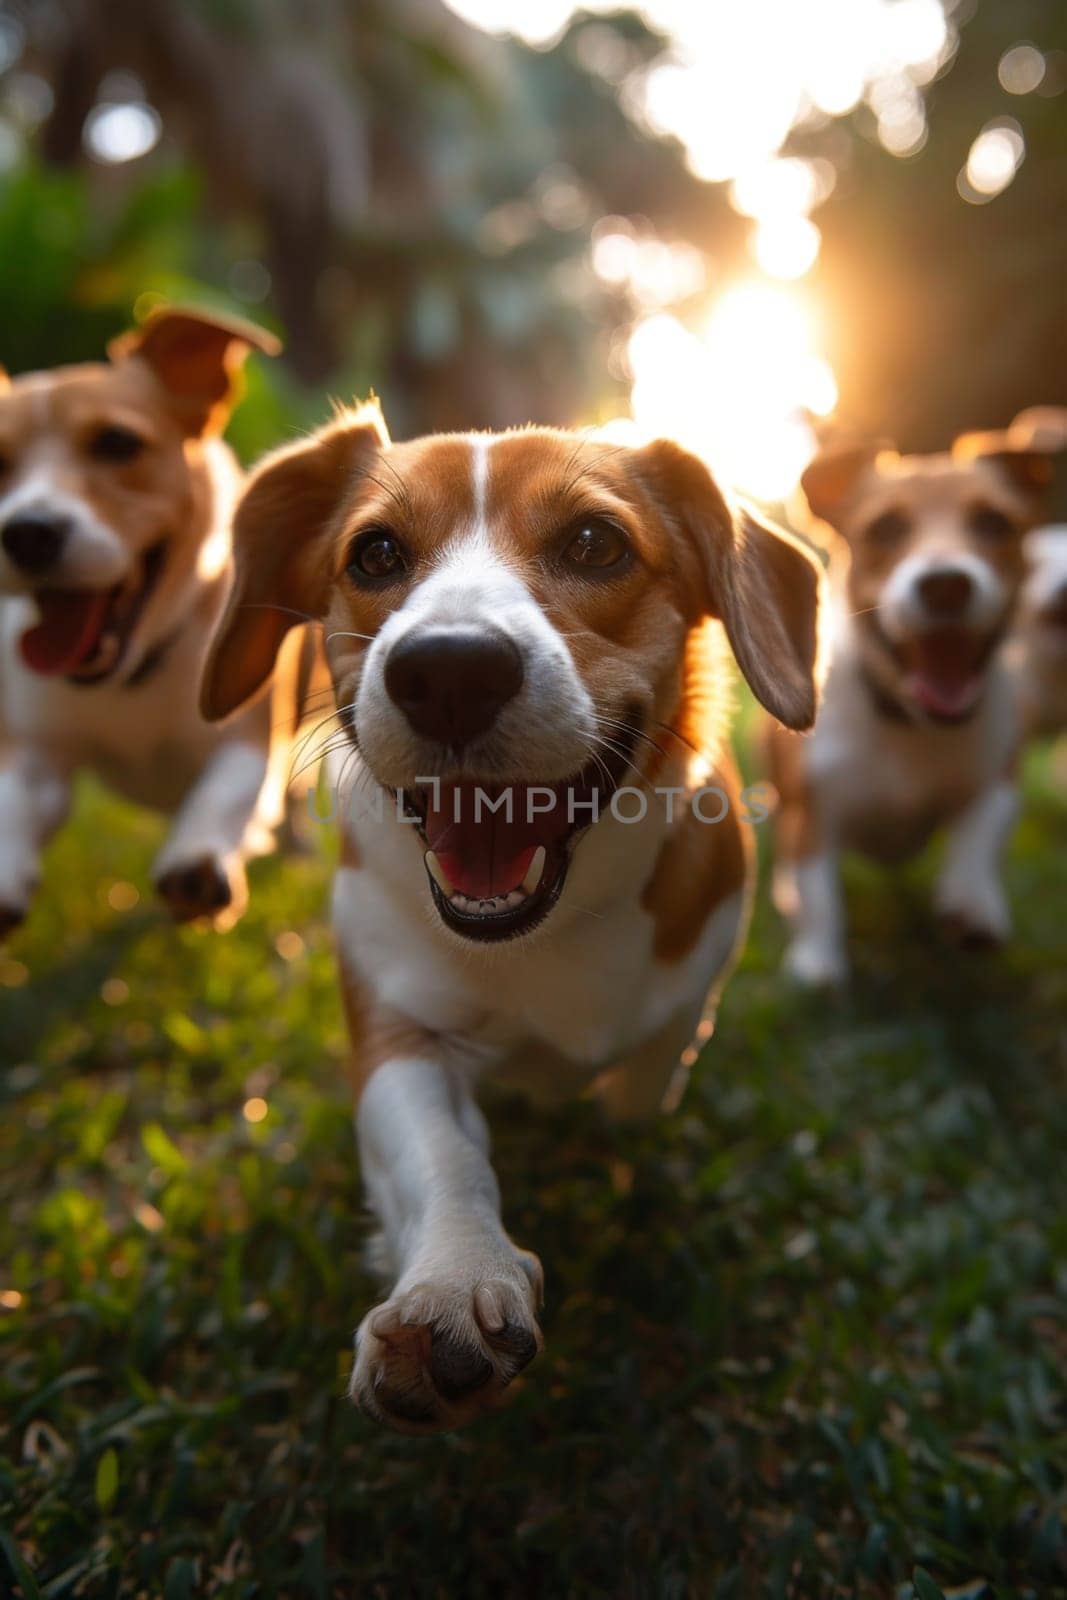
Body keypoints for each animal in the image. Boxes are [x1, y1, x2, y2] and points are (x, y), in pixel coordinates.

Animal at [199, 406, 825, 1433]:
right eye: (375, 553)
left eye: (595, 543)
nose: (449, 669)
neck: (545, 931)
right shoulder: (396, 1030)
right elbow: (442, 1156)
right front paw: (453, 1284)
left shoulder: (682, 1005)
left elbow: (645, 1076)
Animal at [771, 432, 1055, 979]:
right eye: (885, 527)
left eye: (994, 522)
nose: (946, 584)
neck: (910, 724)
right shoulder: (811, 813)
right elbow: (819, 894)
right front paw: (818, 963)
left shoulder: (997, 776)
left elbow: (979, 834)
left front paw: (971, 902)